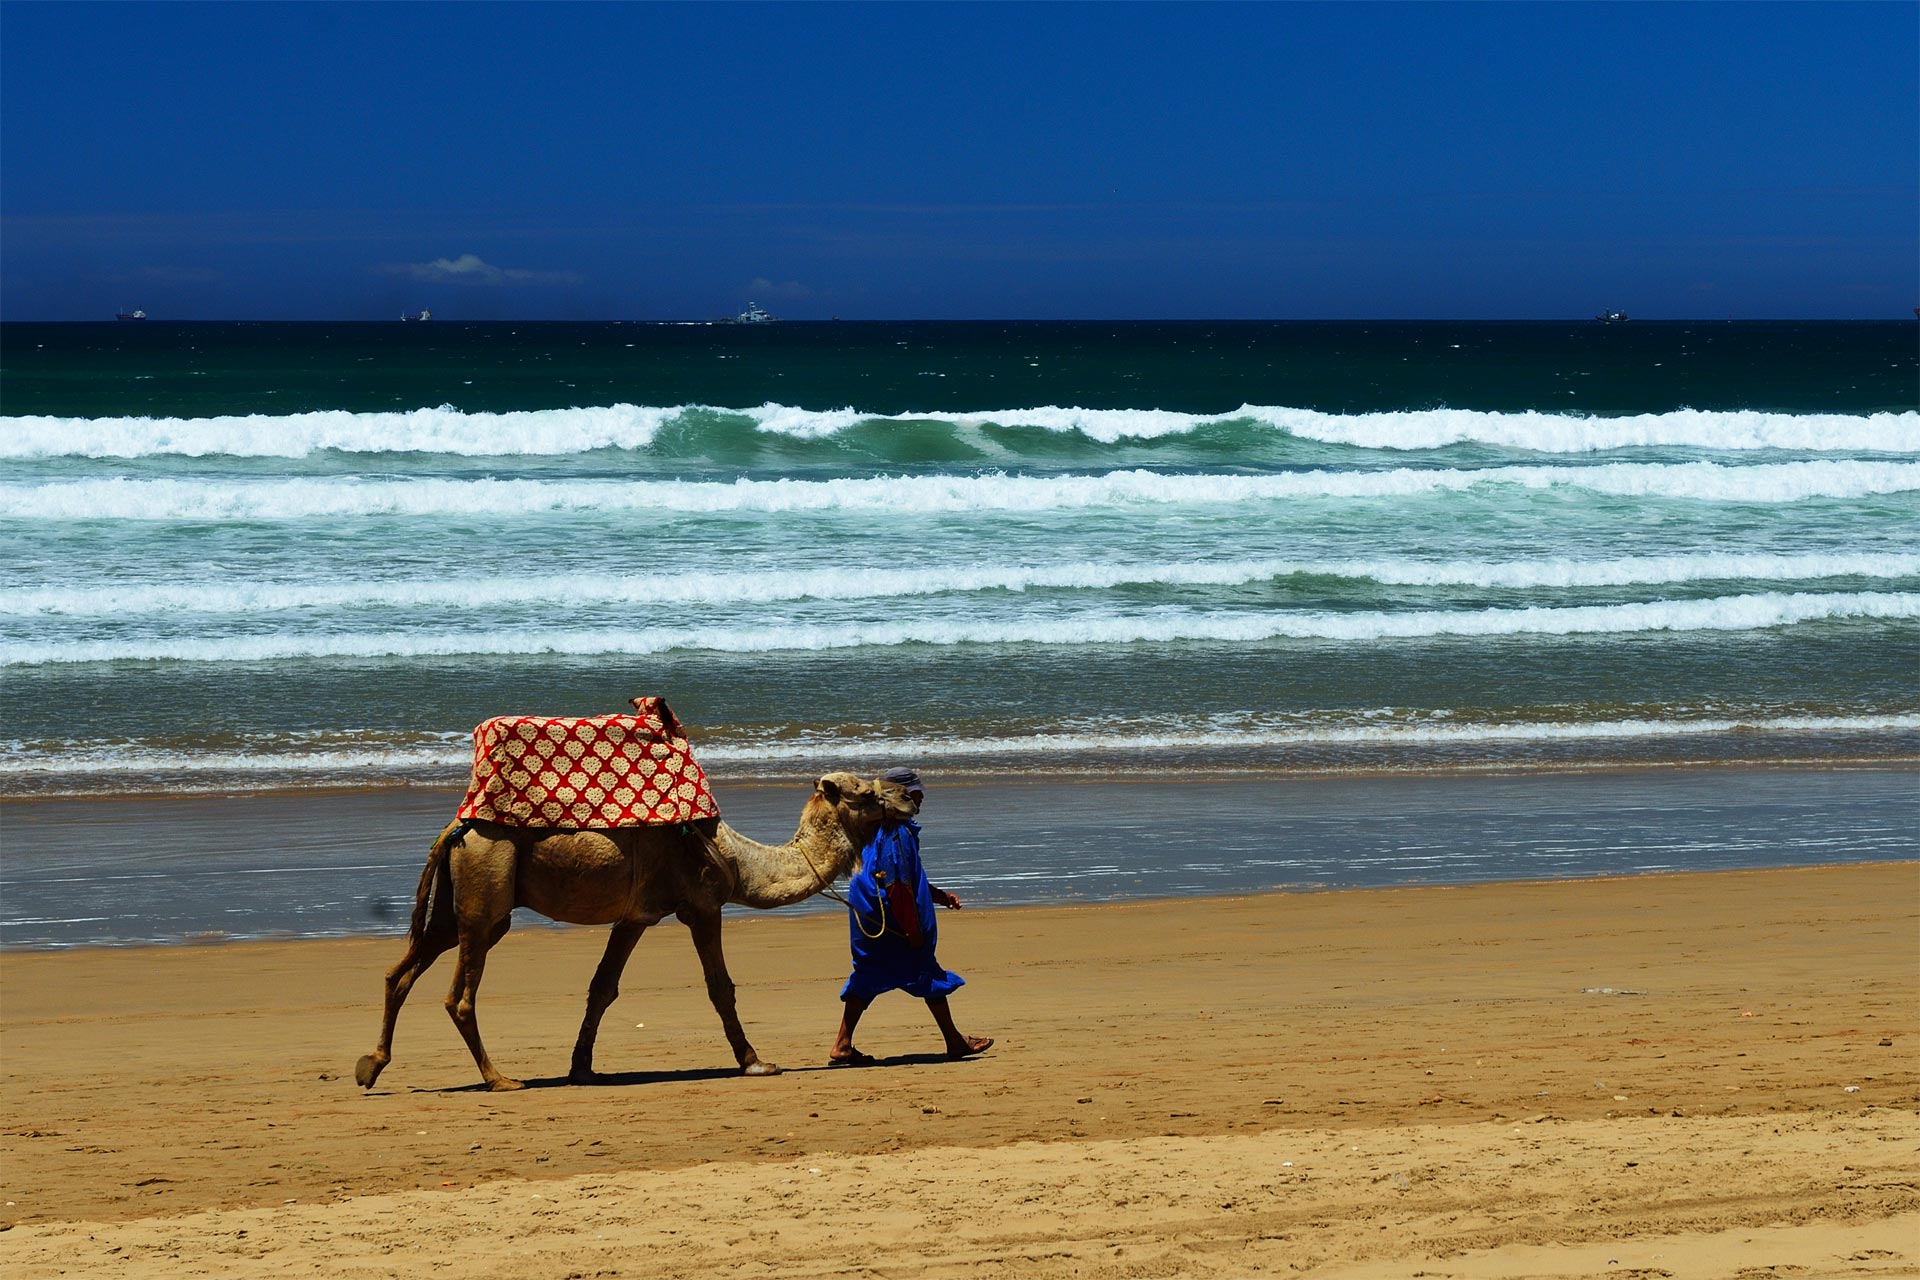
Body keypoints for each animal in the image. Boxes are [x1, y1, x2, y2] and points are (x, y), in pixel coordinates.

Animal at [353, 771, 906, 1090]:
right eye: (865, 792)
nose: (910, 794)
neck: (736, 857)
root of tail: (457, 827)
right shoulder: (702, 904)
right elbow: (720, 987)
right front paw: (755, 1062)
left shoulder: (635, 916)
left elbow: (602, 987)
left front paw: (581, 1068)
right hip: (485, 894)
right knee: (459, 995)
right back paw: (499, 1079)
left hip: (454, 907)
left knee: (400, 972)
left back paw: (371, 1066)